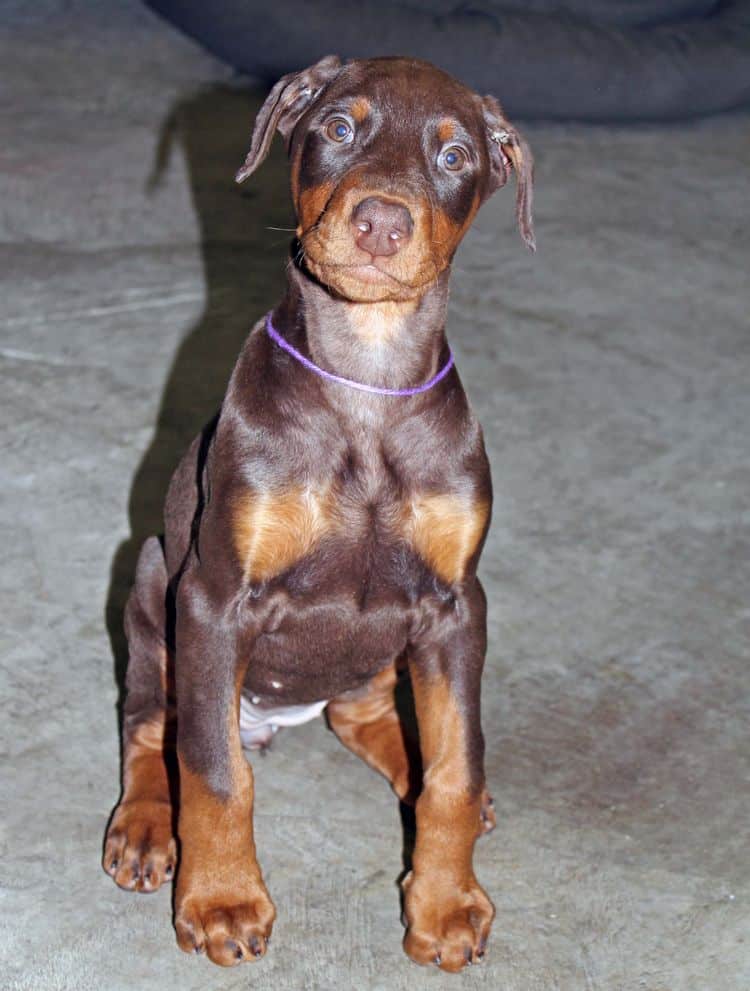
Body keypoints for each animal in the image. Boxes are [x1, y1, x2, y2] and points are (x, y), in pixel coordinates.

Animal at [103, 56, 536, 976]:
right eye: (339, 127)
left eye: (454, 156)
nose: (380, 222)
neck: (365, 376)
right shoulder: (214, 596)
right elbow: (214, 771)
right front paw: (221, 901)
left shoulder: (457, 605)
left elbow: (456, 763)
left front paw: (445, 905)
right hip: (154, 576)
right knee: (152, 723)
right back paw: (148, 825)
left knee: (366, 717)